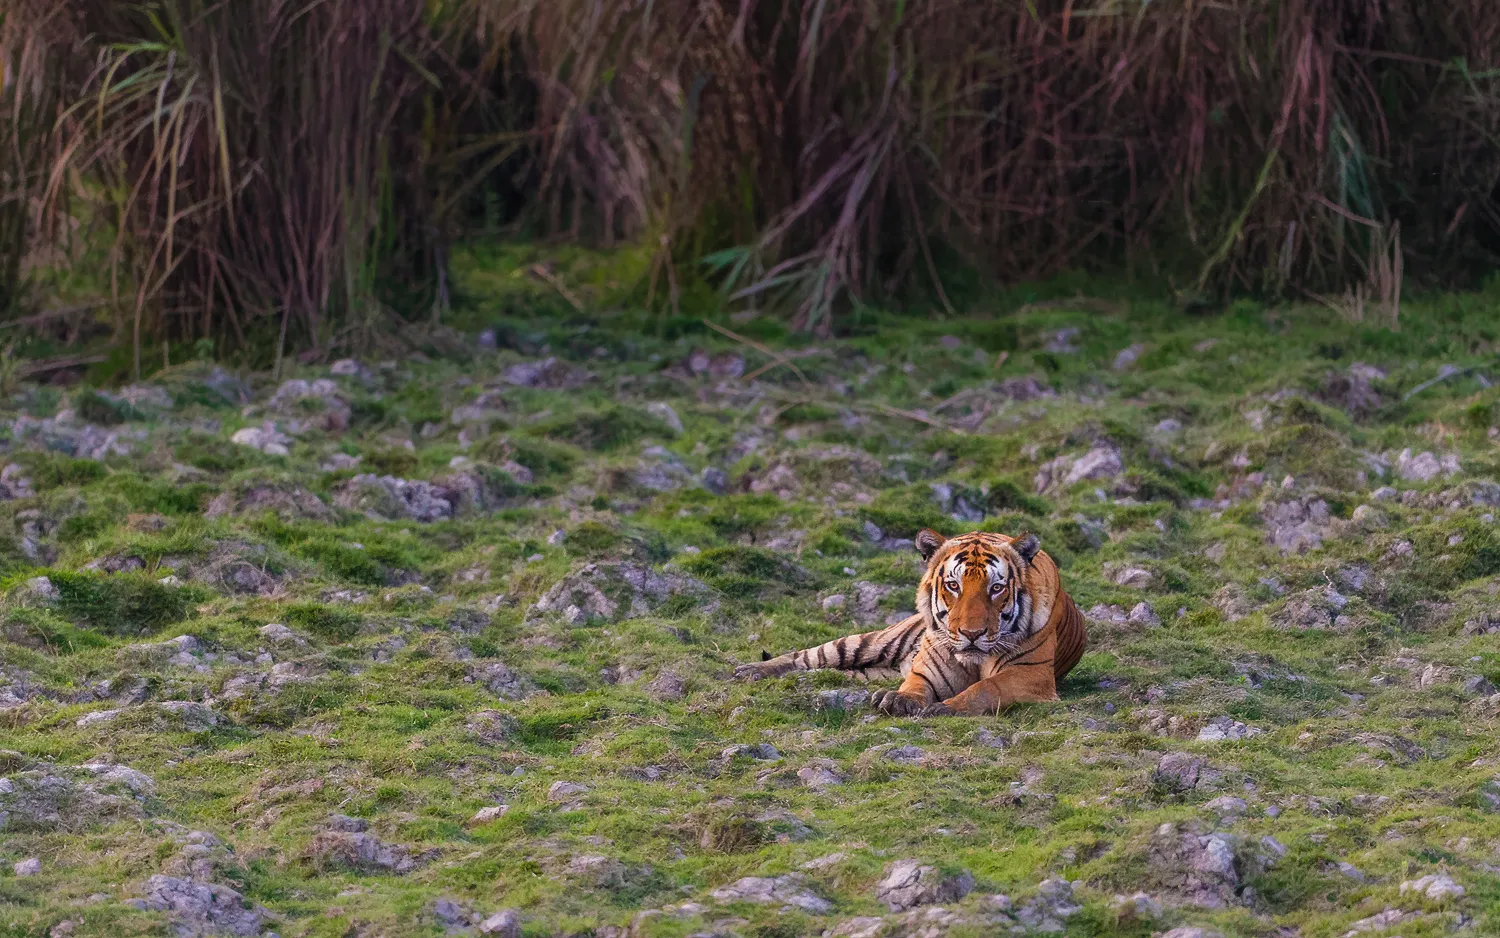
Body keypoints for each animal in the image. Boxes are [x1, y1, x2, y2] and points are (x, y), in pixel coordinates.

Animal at [734, 529, 1086, 716]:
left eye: (996, 588)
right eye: (953, 585)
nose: (971, 634)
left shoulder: (1030, 675)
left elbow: (987, 687)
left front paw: (946, 707)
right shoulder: (927, 668)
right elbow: (916, 685)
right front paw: (899, 700)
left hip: (867, 670)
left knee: (830, 670)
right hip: (869, 642)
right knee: (807, 656)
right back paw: (750, 671)